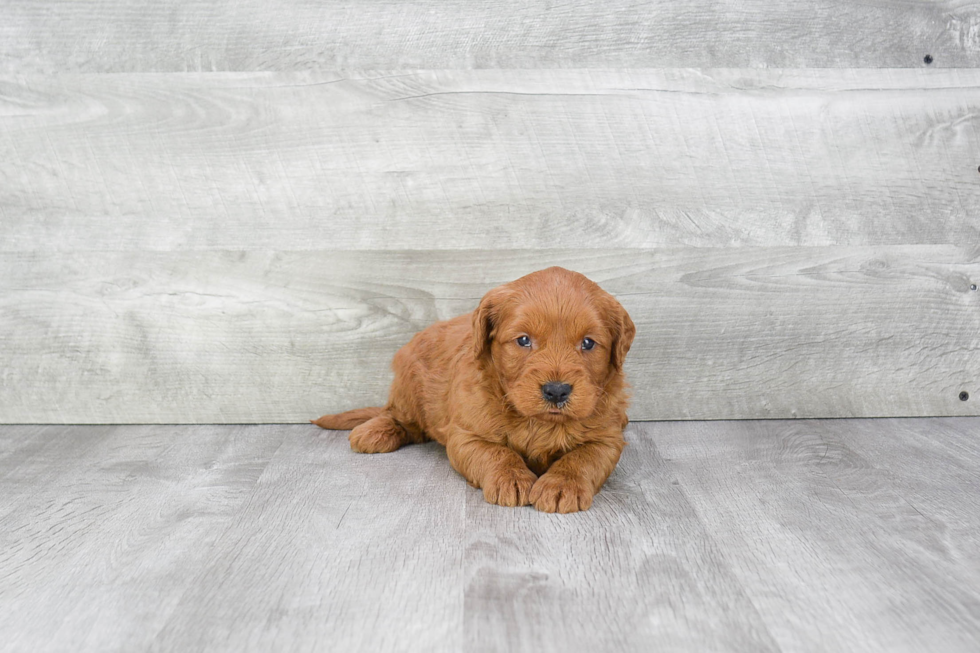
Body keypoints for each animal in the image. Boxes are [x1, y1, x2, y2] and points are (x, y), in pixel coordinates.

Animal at [314, 264, 636, 510]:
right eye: (523, 340)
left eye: (588, 343)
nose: (556, 391)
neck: (537, 421)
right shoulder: (466, 436)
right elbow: (497, 453)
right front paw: (511, 479)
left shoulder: (608, 438)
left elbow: (582, 458)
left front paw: (561, 485)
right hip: (409, 385)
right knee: (401, 418)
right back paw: (375, 431)